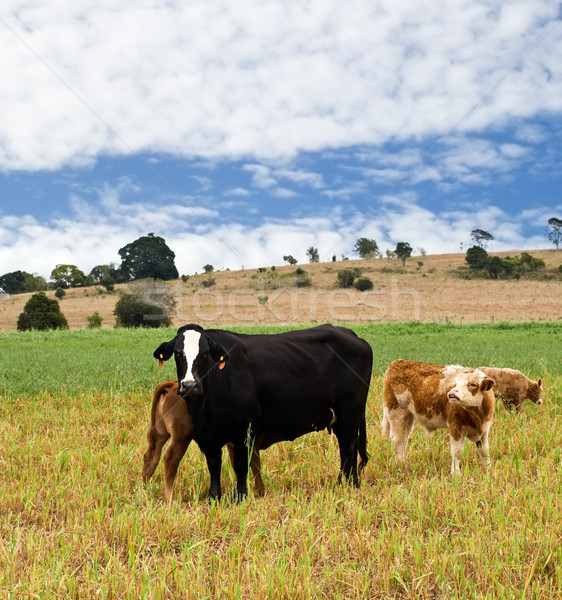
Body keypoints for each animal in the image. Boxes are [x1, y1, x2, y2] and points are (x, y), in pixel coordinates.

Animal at [153, 322, 372, 500]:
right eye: (178, 354)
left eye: (205, 353)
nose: (190, 385)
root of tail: (346, 332)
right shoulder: (208, 434)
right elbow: (214, 465)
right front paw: (214, 497)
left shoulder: (245, 427)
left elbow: (241, 464)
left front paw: (240, 497)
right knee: (348, 450)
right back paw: (348, 484)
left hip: (349, 413)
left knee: (348, 448)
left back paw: (346, 485)